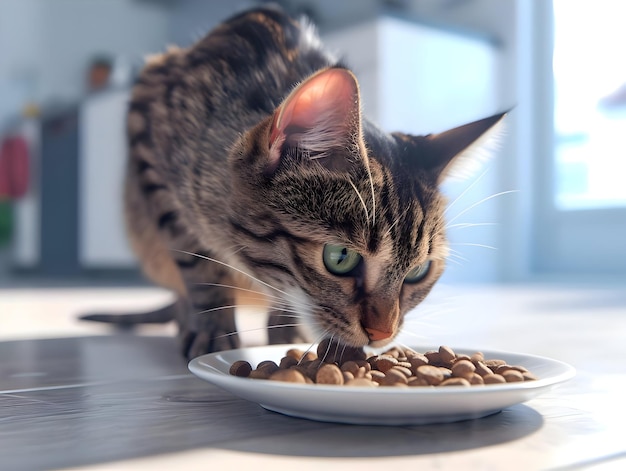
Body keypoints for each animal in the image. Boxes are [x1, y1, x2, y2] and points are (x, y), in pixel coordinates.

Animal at [81, 4, 502, 362]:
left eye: (418, 272)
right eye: (340, 258)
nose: (382, 334)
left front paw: (286, 332)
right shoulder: (146, 129)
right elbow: (196, 265)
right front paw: (212, 328)